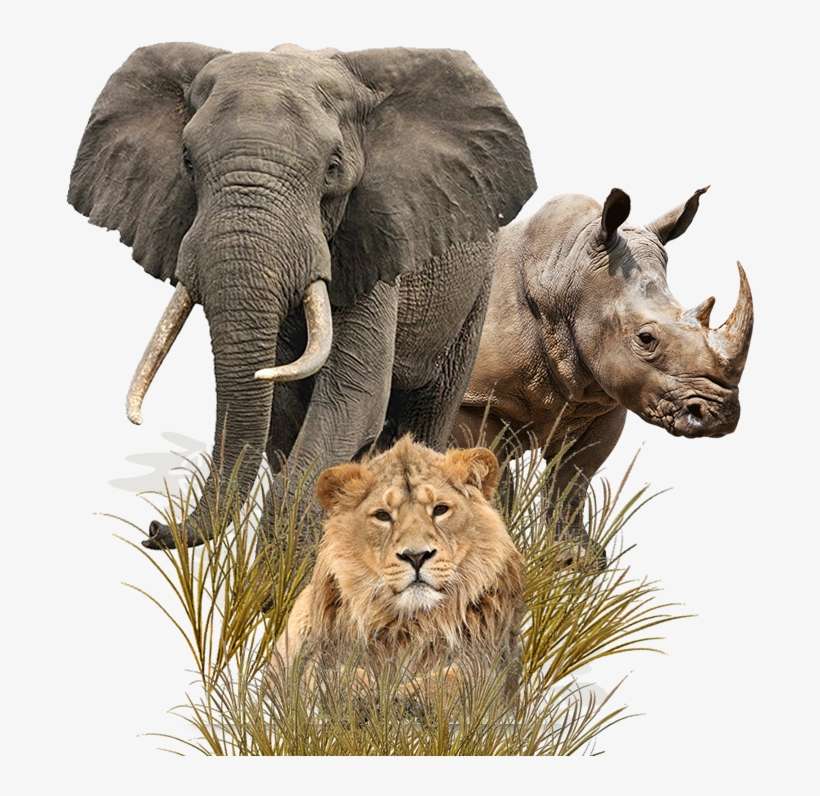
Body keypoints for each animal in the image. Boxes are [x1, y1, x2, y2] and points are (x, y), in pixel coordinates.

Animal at [68, 43, 536, 549]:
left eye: (332, 168)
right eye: (187, 161)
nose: (155, 529)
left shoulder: (372, 243)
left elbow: (353, 397)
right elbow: (283, 410)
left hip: (475, 294)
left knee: (428, 411)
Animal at [455, 187, 753, 556]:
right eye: (646, 338)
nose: (719, 415)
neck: (565, 277)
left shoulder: (603, 401)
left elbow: (573, 478)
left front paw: (575, 558)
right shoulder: (476, 397)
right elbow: (486, 467)